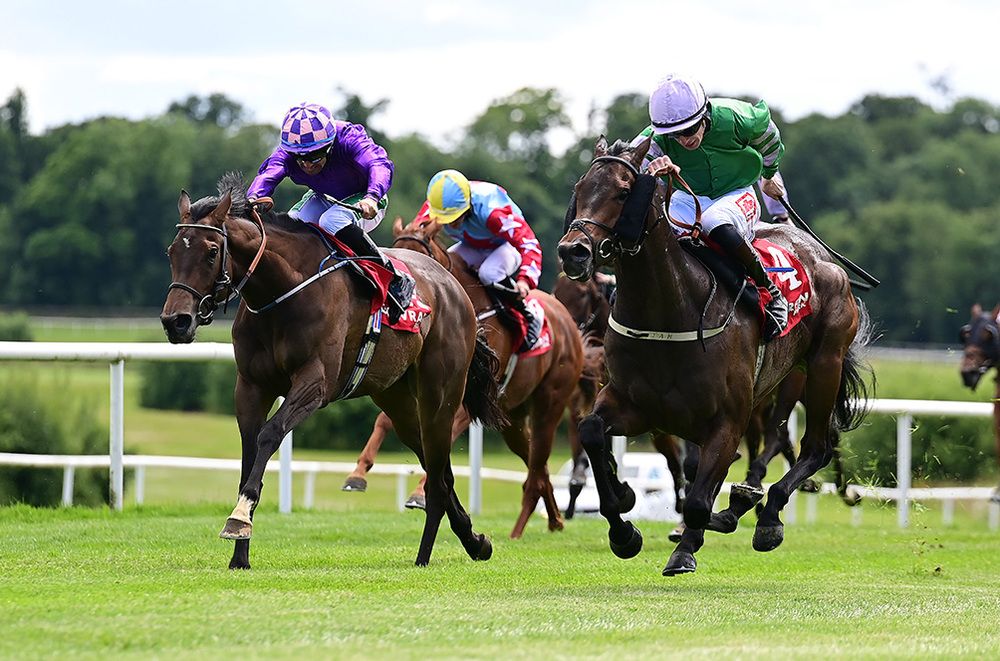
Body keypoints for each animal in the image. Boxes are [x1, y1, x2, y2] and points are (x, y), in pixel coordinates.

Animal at [165, 174, 512, 568]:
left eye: (211, 251)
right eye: (172, 252)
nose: (176, 321)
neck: (282, 291)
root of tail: (456, 288)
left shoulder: (315, 382)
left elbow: (270, 434)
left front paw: (238, 519)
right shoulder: (251, 386)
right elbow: (249, 453)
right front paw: (240, 555)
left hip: (440, 395)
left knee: (439, 474)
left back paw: (426, 556)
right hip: (397, 400)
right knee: (440, 472)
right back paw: (474, 542)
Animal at [342, 214, 584, 540]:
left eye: (419, 255)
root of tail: (568, 321)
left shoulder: (465, 399)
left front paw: (419, 493)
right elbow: (384, 422)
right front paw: (357, 475)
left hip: (550, 401)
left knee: (539, 457)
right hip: (513, 418)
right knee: (537, 461)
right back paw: (555, 519)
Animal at [560, 137, 872, 576]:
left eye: (623, 191)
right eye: (580, 188)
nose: (574, 251)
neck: (671, 312)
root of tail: (823, 257)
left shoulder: (727, 420)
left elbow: (696, 501)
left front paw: (686, 545)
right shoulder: (637, 407)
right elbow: (592, 433)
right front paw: (623, 521)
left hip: (821, 365)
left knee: (815, 446)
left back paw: (769, 513)